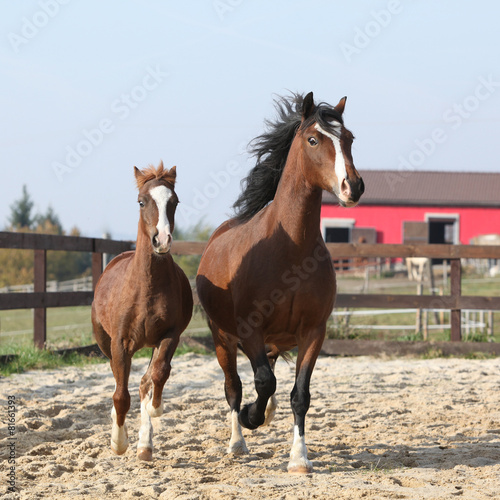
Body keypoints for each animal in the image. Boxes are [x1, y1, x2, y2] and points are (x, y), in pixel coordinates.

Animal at [91, 163, 192, 460]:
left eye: (174, 201)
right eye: (141, 201)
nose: (162, 240)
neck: (147, 287)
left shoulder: (170, 335)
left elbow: (156, 377)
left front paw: (155, 410)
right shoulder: (120, 343)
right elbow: (120, 395)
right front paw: (118, 442)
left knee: (146, 382)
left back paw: (145, 446)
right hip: (105, 343)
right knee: (120, 384)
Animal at [196, 93, 364, 472]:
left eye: (349, 139)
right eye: (313, 140)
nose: (353, 186)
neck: (290, 250)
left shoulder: (313, 332)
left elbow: (299, 394)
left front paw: (299, 458)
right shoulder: (250, 330)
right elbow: (261, 382)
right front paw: (250, 417)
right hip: (222, 338)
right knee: (234, 386)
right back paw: (238, 441)